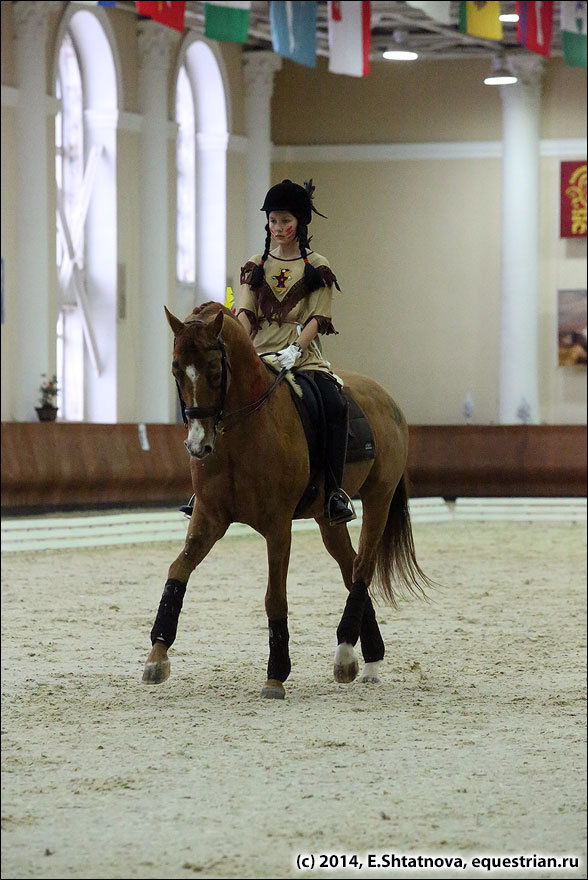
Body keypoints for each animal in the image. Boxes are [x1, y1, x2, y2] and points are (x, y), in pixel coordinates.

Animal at [143, 302, 432, 700]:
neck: (239, 432)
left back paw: (346, 654)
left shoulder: (278, 526)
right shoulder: (208, 517)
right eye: (175, 368)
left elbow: (274, 597)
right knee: (350, 566)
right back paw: (367, 659)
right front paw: (157, 656)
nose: (197, 445)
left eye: (215, 370)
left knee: (363, 568)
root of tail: (387, 398)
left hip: (379, 498)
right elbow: (177, 571)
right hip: (328, 518)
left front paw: (275, 675)